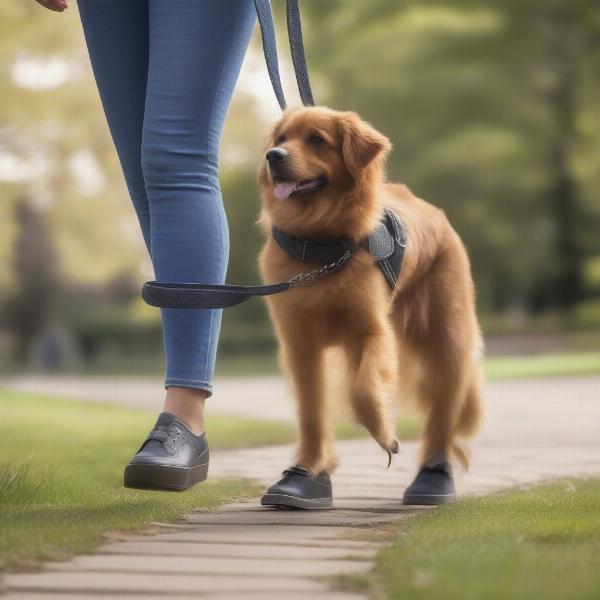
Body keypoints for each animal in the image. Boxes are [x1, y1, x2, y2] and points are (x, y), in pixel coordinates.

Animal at [258, 105, 482, 504]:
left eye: (316, 139)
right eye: (281, 139)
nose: (273, 156)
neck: (320, 245)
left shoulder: (371, 331)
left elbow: (363, 391)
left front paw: (385, 436)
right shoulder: (300, 346)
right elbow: (312, 410)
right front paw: (307, 470)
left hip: (449, 341)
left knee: (443, 415)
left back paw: (433, 477)